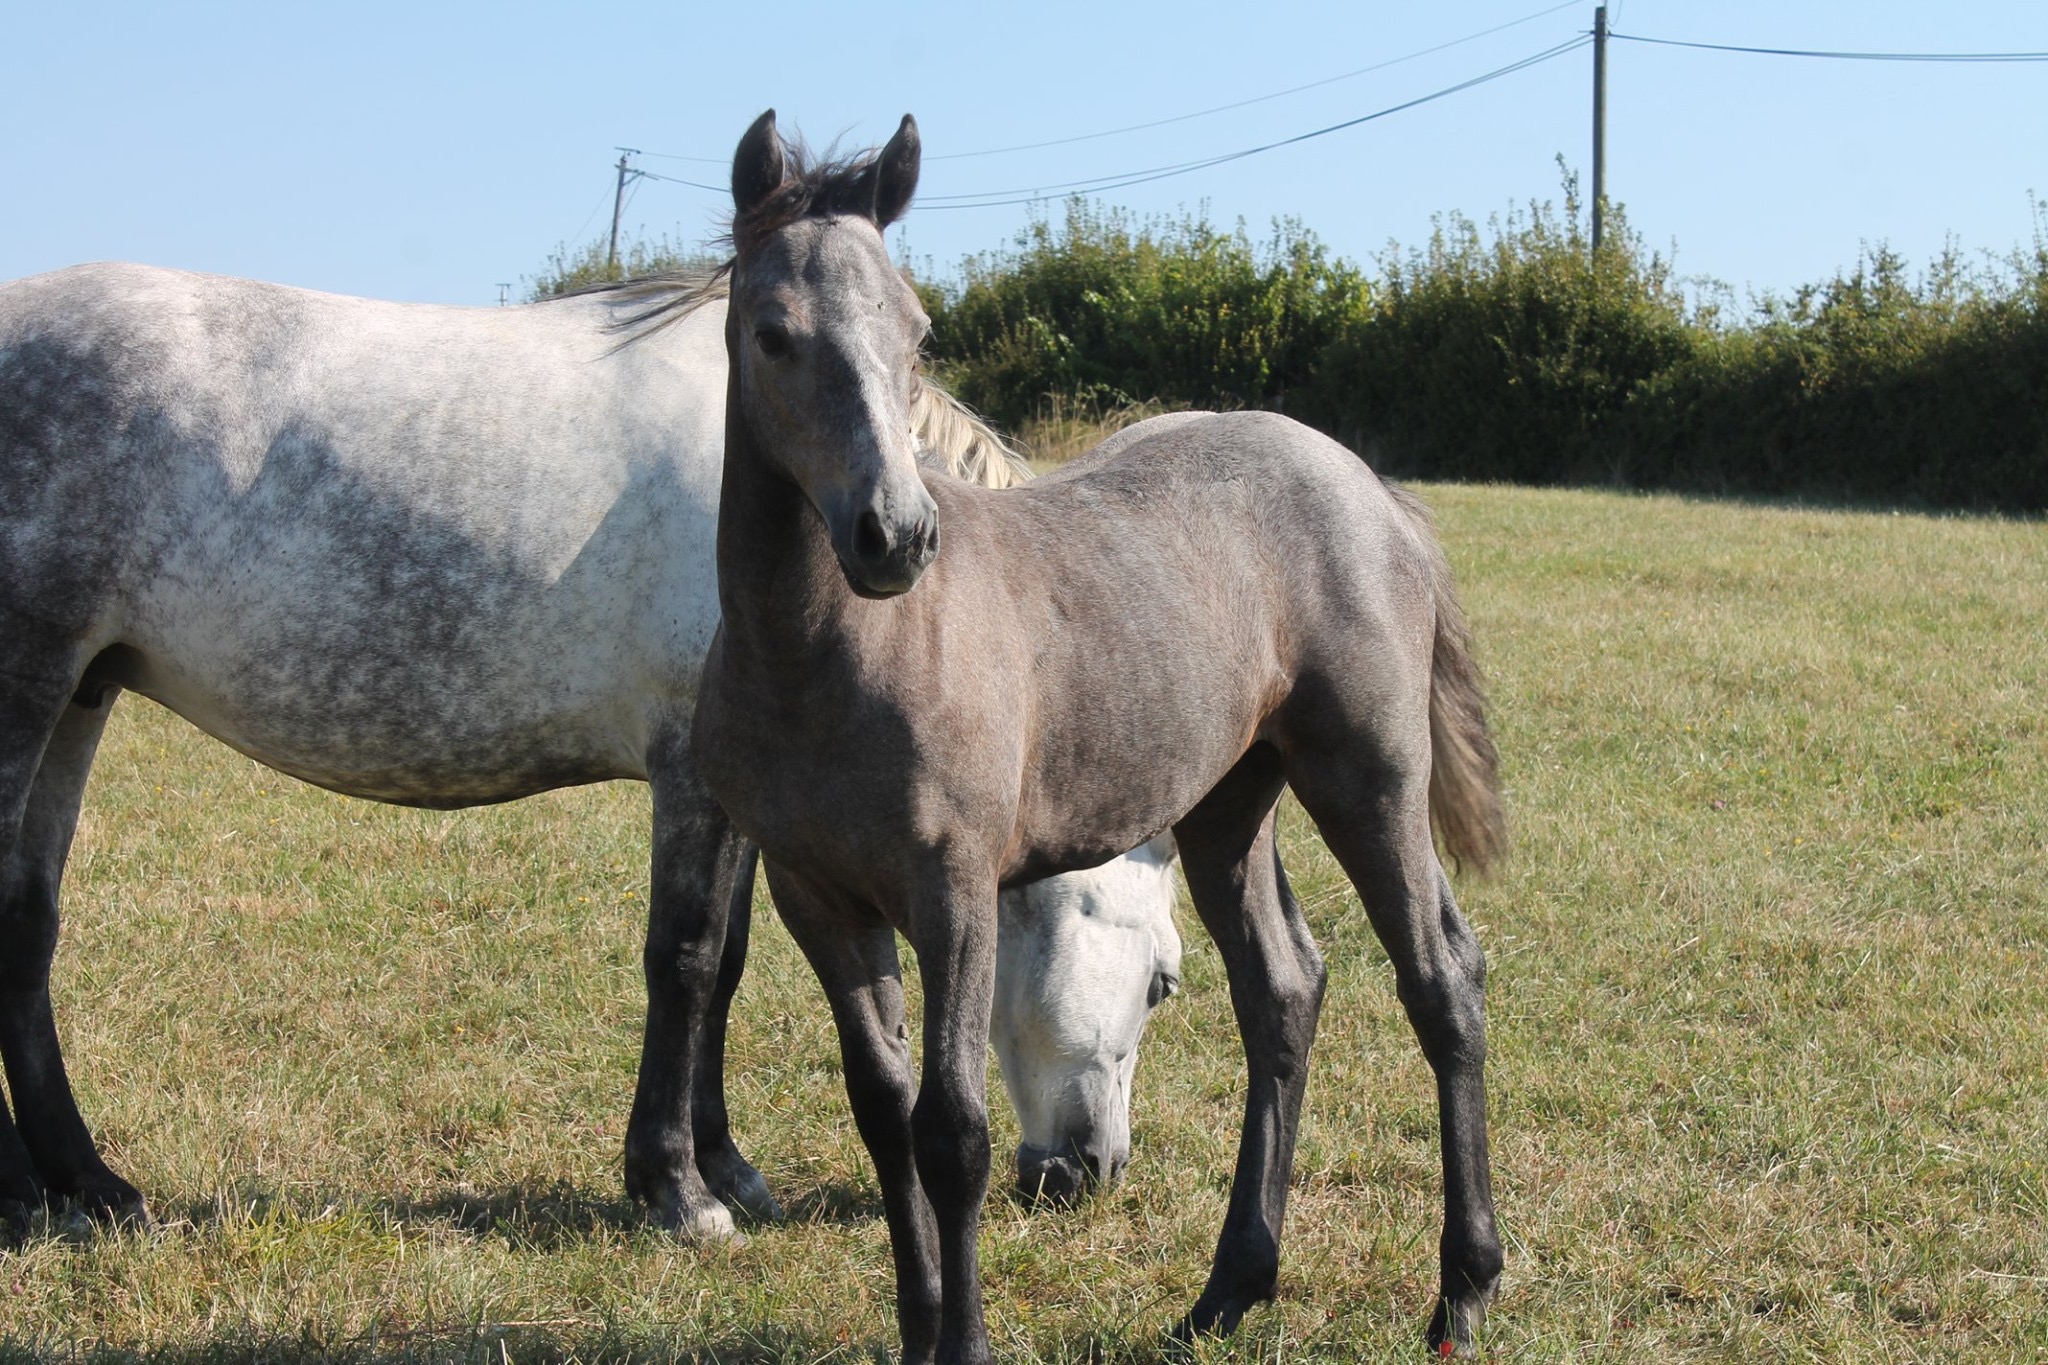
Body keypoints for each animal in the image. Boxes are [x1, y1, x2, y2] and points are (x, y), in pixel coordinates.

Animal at [0, 258, 1182, 1236]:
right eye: (1165, 983)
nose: (1087, 1171)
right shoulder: (689, 777)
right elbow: (686, 959)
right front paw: (675, 1188)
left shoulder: (743, 794)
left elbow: (727, 965)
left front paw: (724, 1164)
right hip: (32, 686)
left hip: (80, 696)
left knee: (28, 920)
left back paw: (74, 1185)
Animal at [692, 110, 1508, 1362]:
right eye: (774, 334)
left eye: (917, 333)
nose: (894, 536)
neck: (821, 661)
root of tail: (1372, 491)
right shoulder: (814, 895)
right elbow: (881, 1113)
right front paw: (920, 1329)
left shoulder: (953, 890)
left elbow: (952, 1132)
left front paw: (964, 1345)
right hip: (1227, 802)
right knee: (1283, 990)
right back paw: (1225, 1292)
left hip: (1366, 773)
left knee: (1441, 982)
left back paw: (1460, 1290)